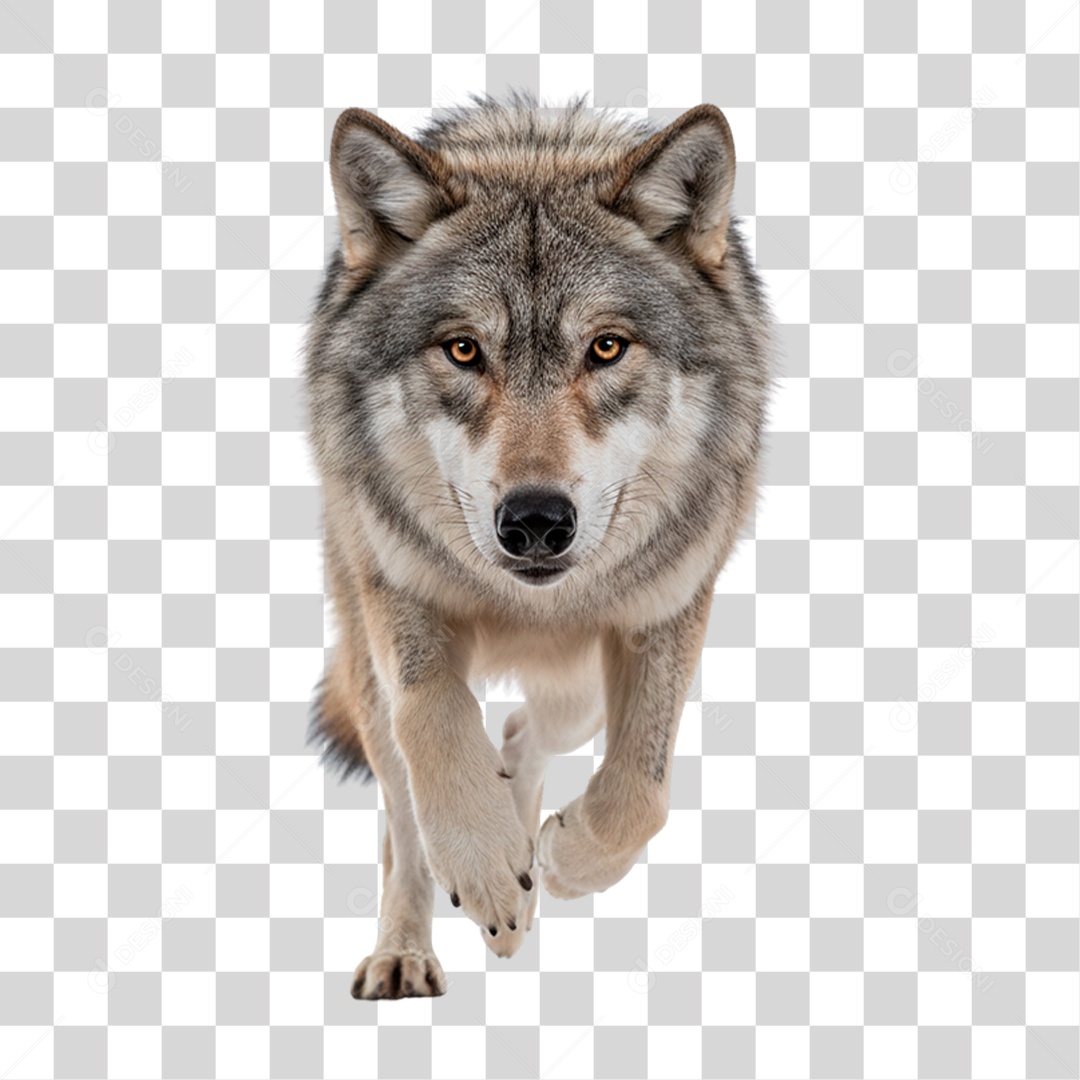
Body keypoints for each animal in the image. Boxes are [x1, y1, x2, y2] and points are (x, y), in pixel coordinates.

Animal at [305, 92, 775, 999]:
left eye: (606, 347)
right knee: (404, 824)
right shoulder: (396, 587)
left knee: (526, 732)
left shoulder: (668, 609)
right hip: (363, 655)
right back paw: (412, 947)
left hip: (579, 687)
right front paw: (487, 865)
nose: (534, 522)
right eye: (463, 349)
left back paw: (523, 883)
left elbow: (641, 792)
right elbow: (435, 725)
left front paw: (558, 861)